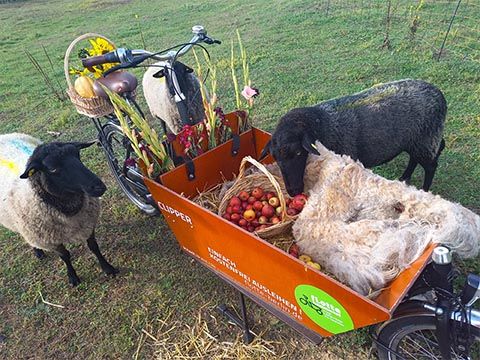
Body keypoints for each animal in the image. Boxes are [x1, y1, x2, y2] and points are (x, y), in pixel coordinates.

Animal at [0, 133, 117, 286]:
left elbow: (94, 247)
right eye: (52, 168)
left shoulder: (87, 223)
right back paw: (38, 251)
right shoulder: (50, 239)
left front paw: (107, 268)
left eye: (78, 155)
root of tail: (4, 136)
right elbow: (65, 256)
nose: (99, 187)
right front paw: (72, 277)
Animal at [262, 79, 446, 197]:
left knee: (431, 166)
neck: (323, 124)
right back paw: (404, 178)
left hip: (426, 140)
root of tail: (439, 94)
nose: (293, 192)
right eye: (275, 157)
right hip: (416, 142)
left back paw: (424, 190)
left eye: (298, 153)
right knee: (414, 158)